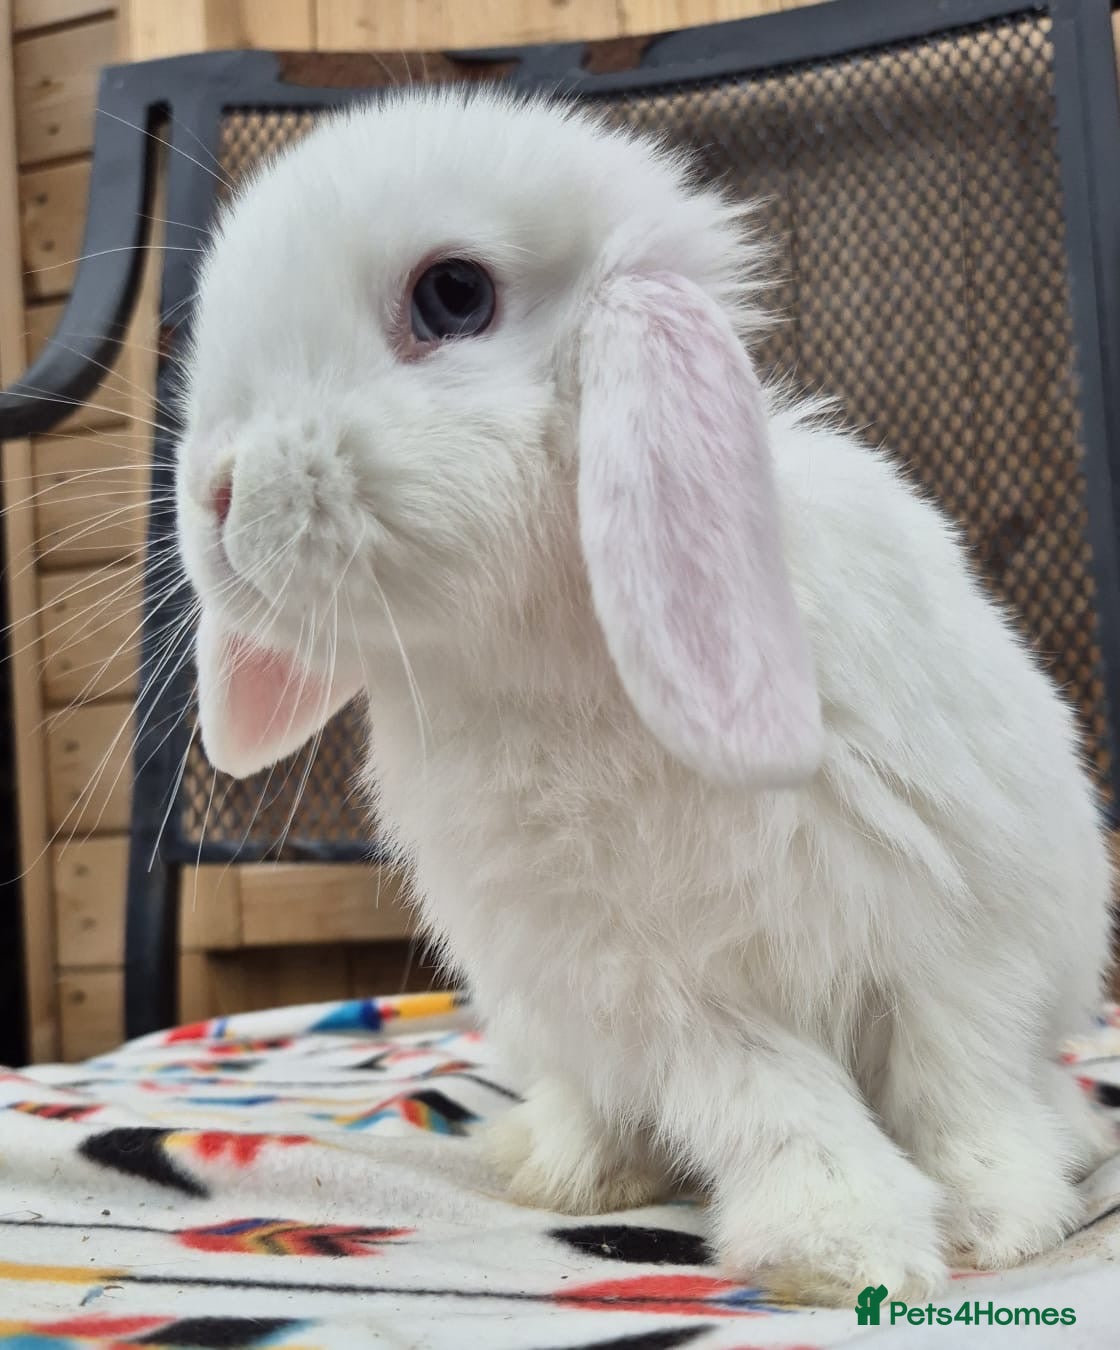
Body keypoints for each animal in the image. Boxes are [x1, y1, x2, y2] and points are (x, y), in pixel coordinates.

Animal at [174, 86, 1117, 1307]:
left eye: (453, 295)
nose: (214, 494)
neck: (566, 646)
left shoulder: (958, 937)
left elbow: (960, 1084)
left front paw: (991, 1226)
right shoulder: (661, 999)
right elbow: (778, 1106)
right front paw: (838, 1249)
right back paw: (572, 1169)